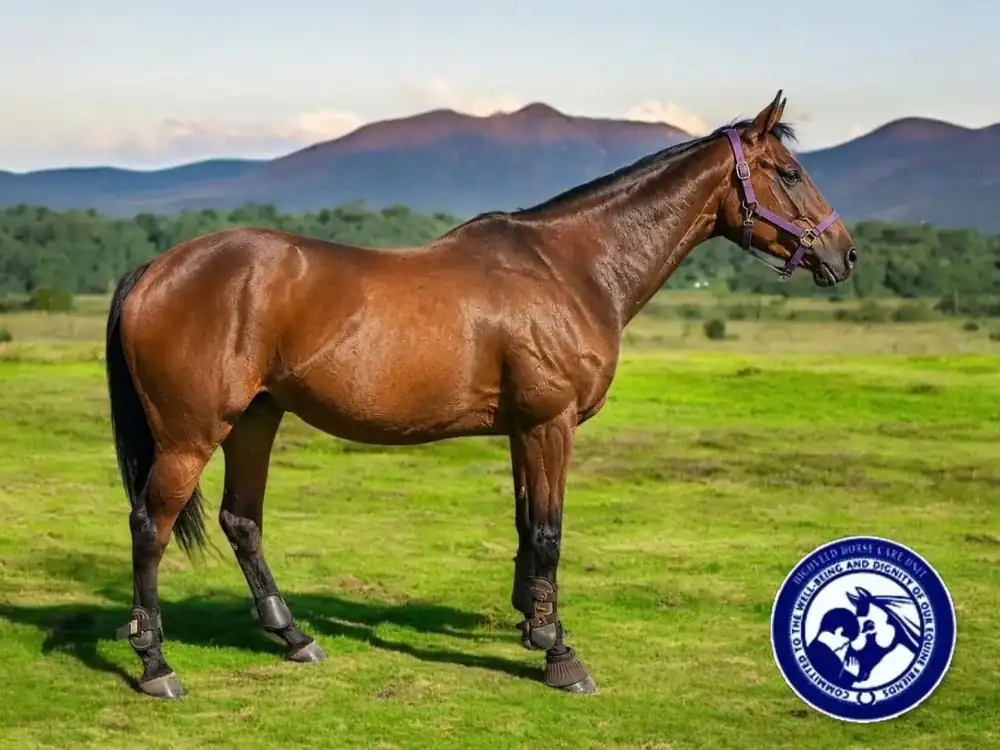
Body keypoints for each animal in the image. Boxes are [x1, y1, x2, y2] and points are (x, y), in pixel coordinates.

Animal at [104, 90, 857, 699]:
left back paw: (294, 637)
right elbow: (549, 532)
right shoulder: (551, 423)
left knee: (241, 521)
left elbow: (527, 526)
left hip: (256, 419)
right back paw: (156, 664)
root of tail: (154, 268)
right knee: (149, 527)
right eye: (790, 173)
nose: (844, 254)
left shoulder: (525, 428)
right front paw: (561, 656)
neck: (570, 267)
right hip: (191, 436)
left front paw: (533, 625)